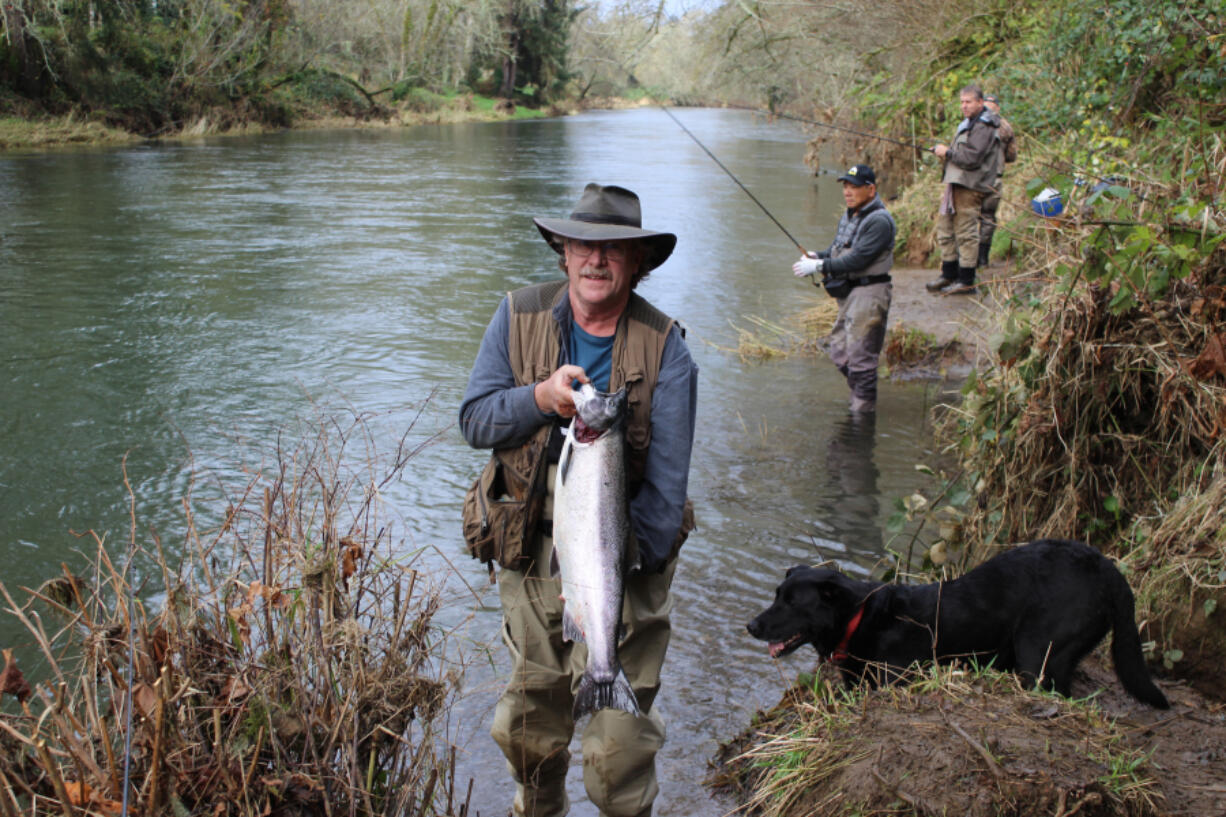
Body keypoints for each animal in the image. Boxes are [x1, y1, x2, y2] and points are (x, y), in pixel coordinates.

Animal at [745, 537, 1167, 701]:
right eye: (776, 595)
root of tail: (1108, 570)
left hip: (1039, 654)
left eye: (791, 603)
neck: (862, 618)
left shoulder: (896, 680)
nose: (750, 626)